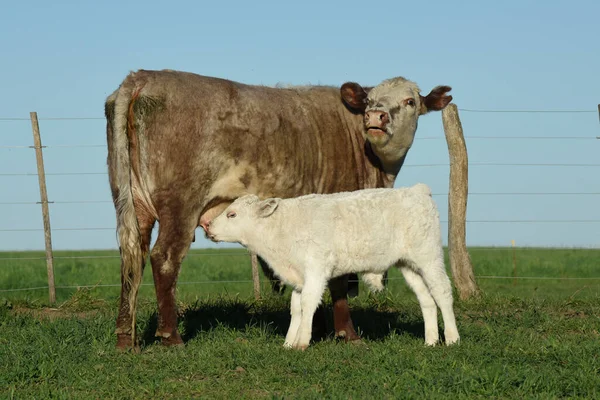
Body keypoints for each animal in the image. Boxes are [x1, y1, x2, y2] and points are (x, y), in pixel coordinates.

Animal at [104, 69, 450, 350]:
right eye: (370, 100)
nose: (376, 117)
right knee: (164, 259)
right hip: (180, 205)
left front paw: (317, 329)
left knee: (131, 257)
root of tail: (142, 77)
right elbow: (339, 281)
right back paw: (171, 336)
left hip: (132, 204)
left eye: (409, 101)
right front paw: (346, 333)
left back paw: (126, 339)